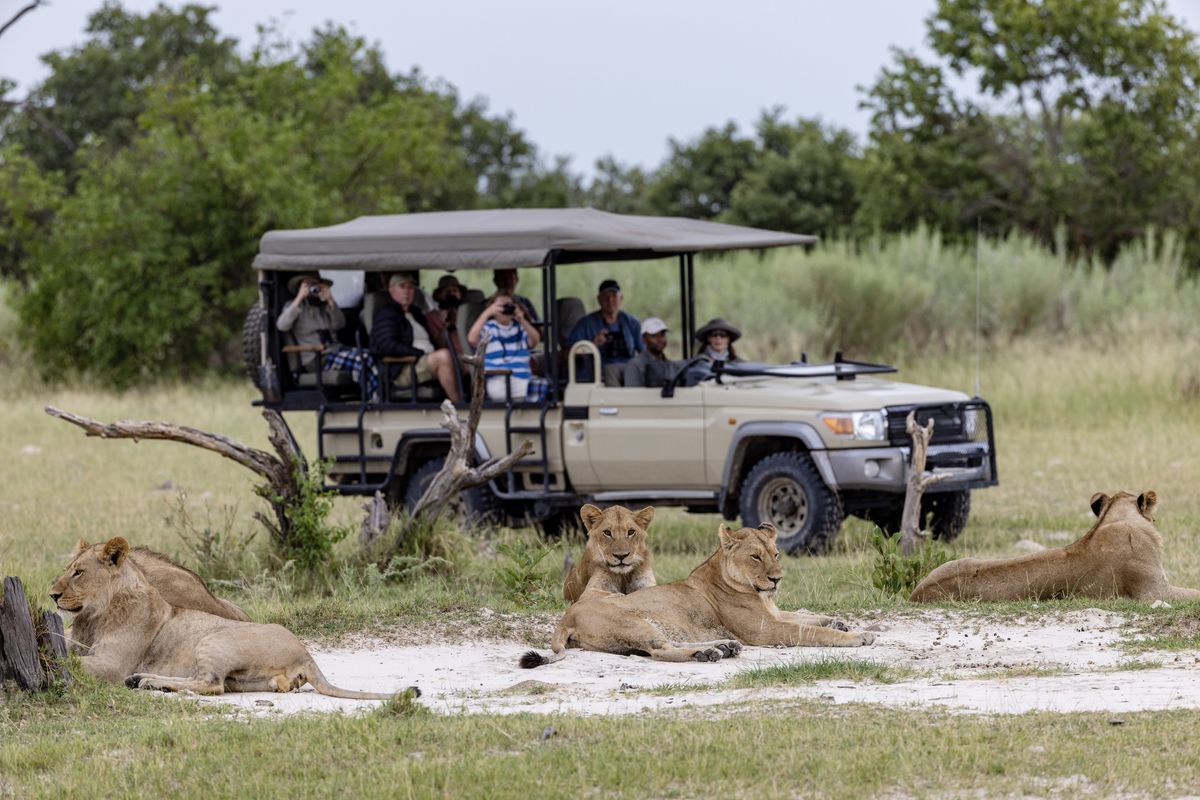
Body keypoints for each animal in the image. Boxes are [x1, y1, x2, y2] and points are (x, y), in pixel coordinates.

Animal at [50, 537, 408, 699]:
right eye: (66, 569)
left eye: (78, 572)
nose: (52, 594)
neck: (93, 617)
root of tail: (305, 653)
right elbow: (66, 650)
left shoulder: (111, 664)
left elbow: (71, 662)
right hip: (248, 676)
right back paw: (142, 680)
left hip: (213, 639)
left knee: (212, 685)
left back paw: (145, 681)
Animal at [522, 522, 874, 667]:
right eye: (755, 557)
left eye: (776, 554)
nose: (777, 579)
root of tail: (565, 617)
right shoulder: (766, 630)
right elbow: (809, 630)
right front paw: (857, 636)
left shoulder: (774, 613)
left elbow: (805, 615)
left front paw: (839, 622)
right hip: (632, 620)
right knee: (660, 651)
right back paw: (708, 654)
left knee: (662, 645)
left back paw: (723, 647)